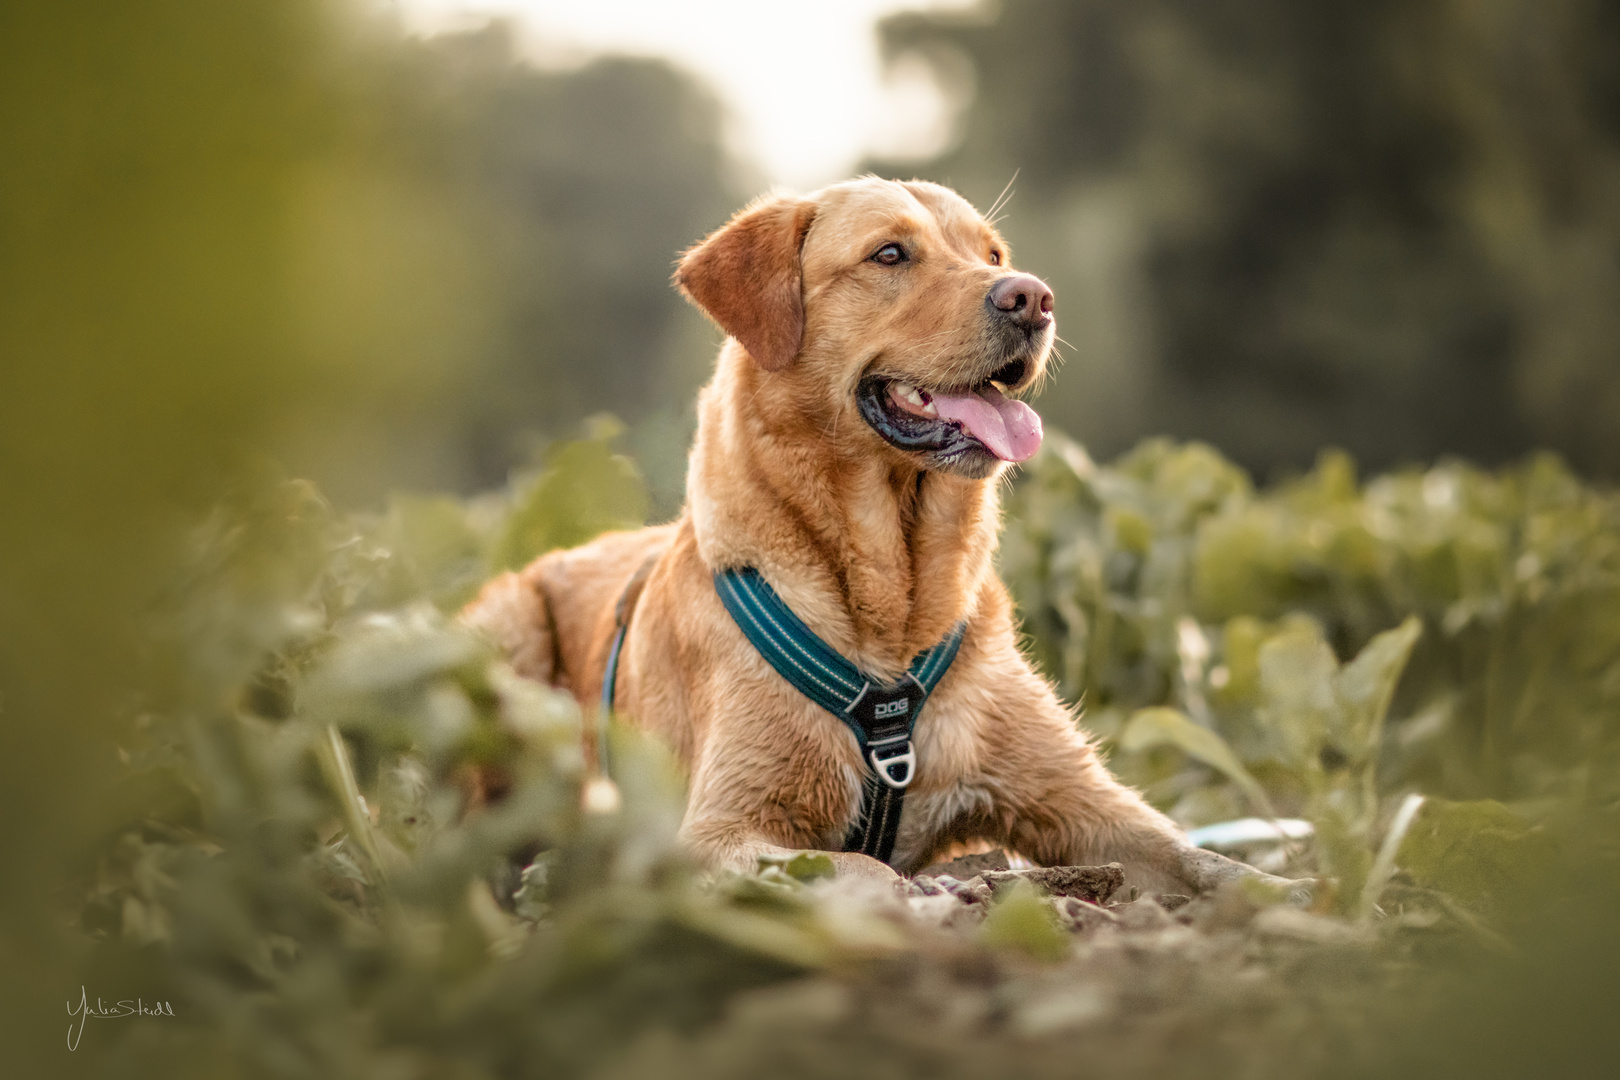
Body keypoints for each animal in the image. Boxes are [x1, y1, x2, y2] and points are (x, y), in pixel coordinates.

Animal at [469, 173, 1276, 893]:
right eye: (890, 254)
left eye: (991, 253)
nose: (1034, 297)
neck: (894, 596)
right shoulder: (721, 831)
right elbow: (861, 867)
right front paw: (934, 895)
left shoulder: (1084, 803)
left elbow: (1211, 864)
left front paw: (1294, 902)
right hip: (505, 635)